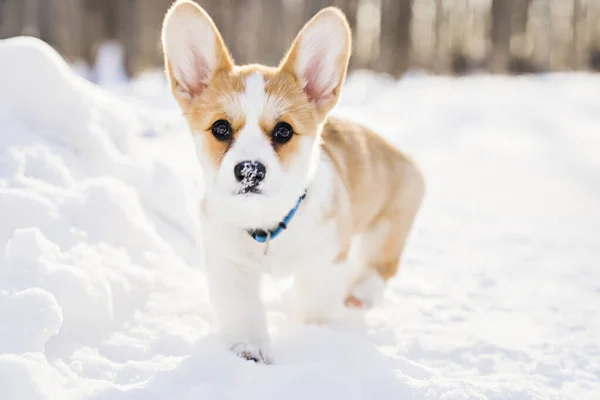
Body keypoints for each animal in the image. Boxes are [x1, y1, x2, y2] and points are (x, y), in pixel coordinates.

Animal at [162, 0, 424, 364]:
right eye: (220, 128)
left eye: (284, 130)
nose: (250, 170)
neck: (267, 223)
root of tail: (401, 155)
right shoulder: (229, 263)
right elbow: (242, 310)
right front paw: (249, 349)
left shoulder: (324, 262)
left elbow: (314, 309)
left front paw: (311, 339)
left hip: (388, 224)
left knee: (381, 264)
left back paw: (360, 294)